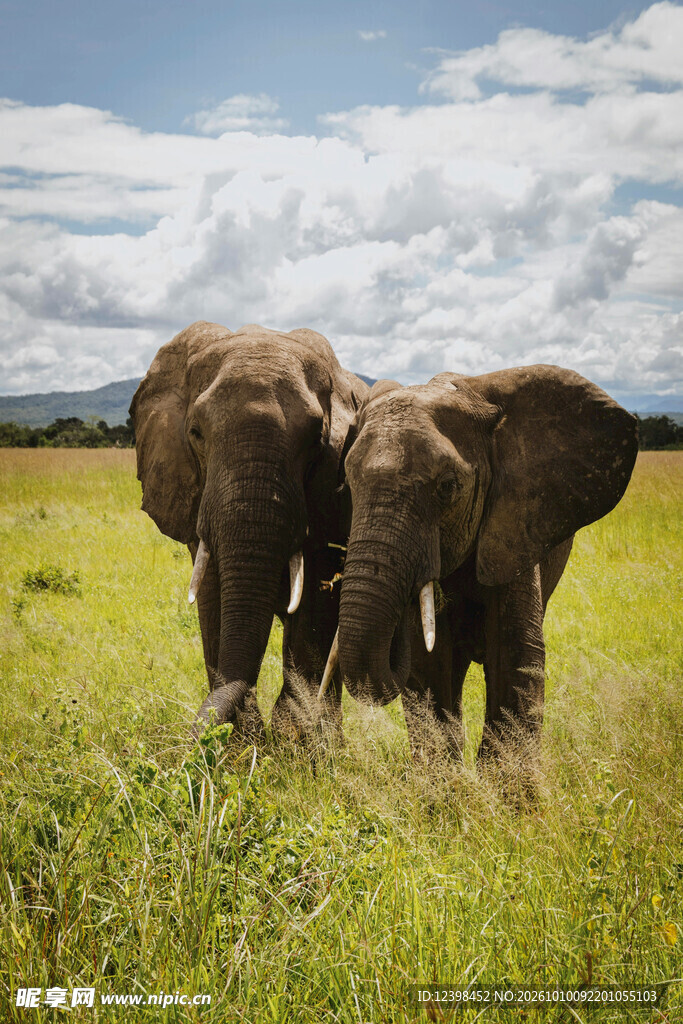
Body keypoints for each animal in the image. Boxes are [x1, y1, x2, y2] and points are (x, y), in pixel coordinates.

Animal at [130, 321, 368, 740]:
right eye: (196, 433)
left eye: (316, 441)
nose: (192, 741)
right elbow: (211, 596)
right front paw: (241, 740)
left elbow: (313, 604)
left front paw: (292, 740)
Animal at [321, 365, 638, 770]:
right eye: (346, 488)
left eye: (447, 487)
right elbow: (429, 665)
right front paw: (448, 784)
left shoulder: (514, 524)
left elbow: (516, 656)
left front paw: (506, 787)